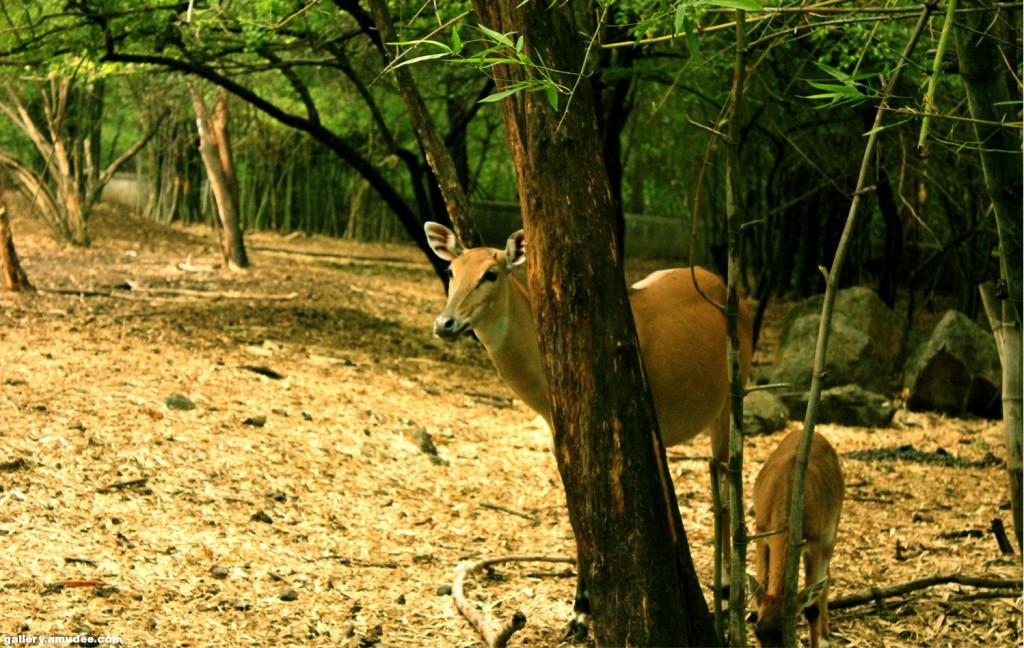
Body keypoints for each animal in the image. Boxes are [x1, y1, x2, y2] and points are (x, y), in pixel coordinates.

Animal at [423, 222, 753, 638]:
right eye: (452, 270)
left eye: (491, 273)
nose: (445, 323)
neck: (546, 395)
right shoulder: (558, 438)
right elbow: (577, 512)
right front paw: (578, 613)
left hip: (732, 393)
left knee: (726, 480)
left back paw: (726, 592)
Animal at [749, 429, 843, 646]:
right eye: (757, 632)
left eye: (788, 632)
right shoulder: (761, 533)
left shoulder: (814, 541)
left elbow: (811, 608)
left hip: (832, 528)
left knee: (826, 577)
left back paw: (825, 639)